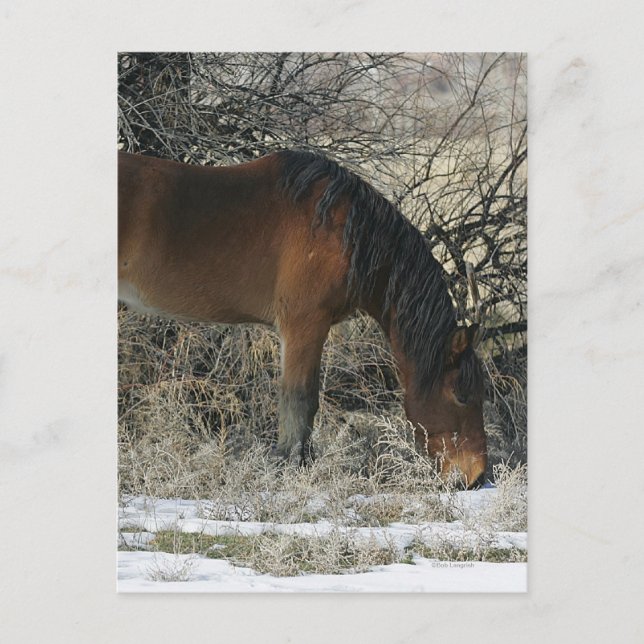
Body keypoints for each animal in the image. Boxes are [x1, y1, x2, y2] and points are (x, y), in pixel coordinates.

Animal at [118, 149, 487, 487]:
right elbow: (300, 401)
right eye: (461, 394)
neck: (344, 231)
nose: (476, 476)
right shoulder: (304, 325)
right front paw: (291, 465)